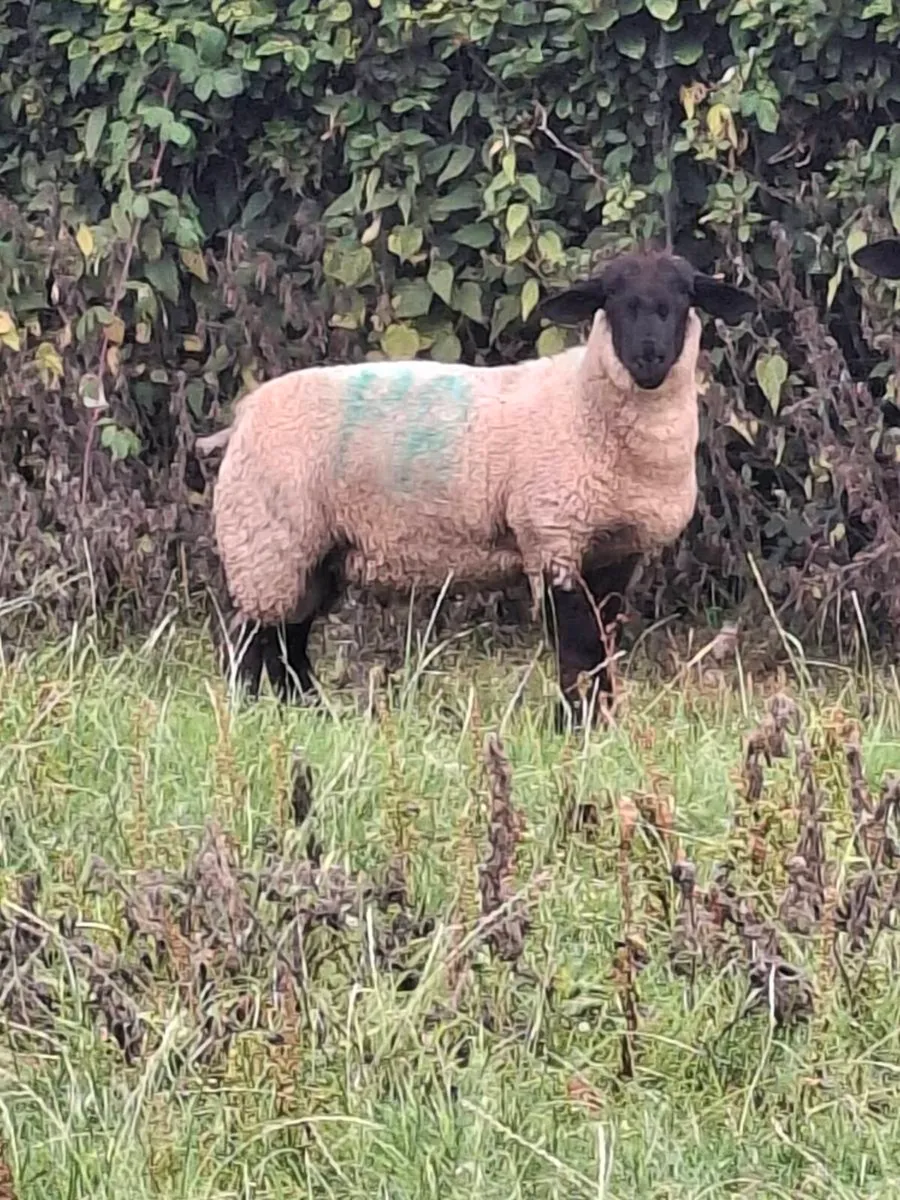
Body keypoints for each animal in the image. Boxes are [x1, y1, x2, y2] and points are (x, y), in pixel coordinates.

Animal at [196, 248, 755, 729]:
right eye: (612, 297)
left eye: (683, 296)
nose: (649, 357)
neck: (582, 402)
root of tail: (244, 415)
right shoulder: (552, 537)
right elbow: (576, 643)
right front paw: (572, 726)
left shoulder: (614, 549)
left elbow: (600, 643)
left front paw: (599, 722)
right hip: (268, 542)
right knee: (252, 639)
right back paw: (249, 715)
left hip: (313, 553)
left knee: (287, 640)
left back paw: (310, 714)